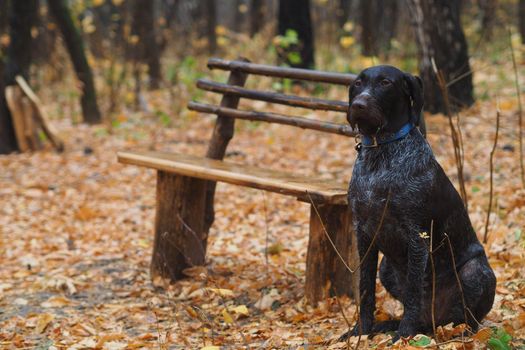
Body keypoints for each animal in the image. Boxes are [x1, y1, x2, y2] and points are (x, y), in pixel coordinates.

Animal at [344, 65, 496, 340]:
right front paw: (361, 331)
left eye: (385, 82)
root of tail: (435, 321)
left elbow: (415, 292)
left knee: (471, 320)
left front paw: (404, 335)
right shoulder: (363, 235)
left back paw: (459, 333)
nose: (358, 104)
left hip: (474, 271)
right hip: (386, 268)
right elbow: (365, 289)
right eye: (358, 83)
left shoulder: (417, 237)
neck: (381, 153)